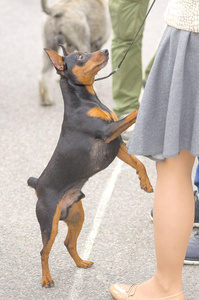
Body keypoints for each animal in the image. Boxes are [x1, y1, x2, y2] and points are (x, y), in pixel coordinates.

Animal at [27, 47, 152, 288]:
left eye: (85, 51)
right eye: (80, 56)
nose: (105, 50)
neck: (85, 101)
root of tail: (37, 184)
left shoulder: (117, 145)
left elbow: (138, 162)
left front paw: (145, 182)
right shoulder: (108, 133)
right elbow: (133, 115)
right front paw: (144, 104)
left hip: (76, 216)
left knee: (68, 243)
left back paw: (81, 263)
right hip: (49, 223)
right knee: (43, 252)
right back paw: (47, 279)